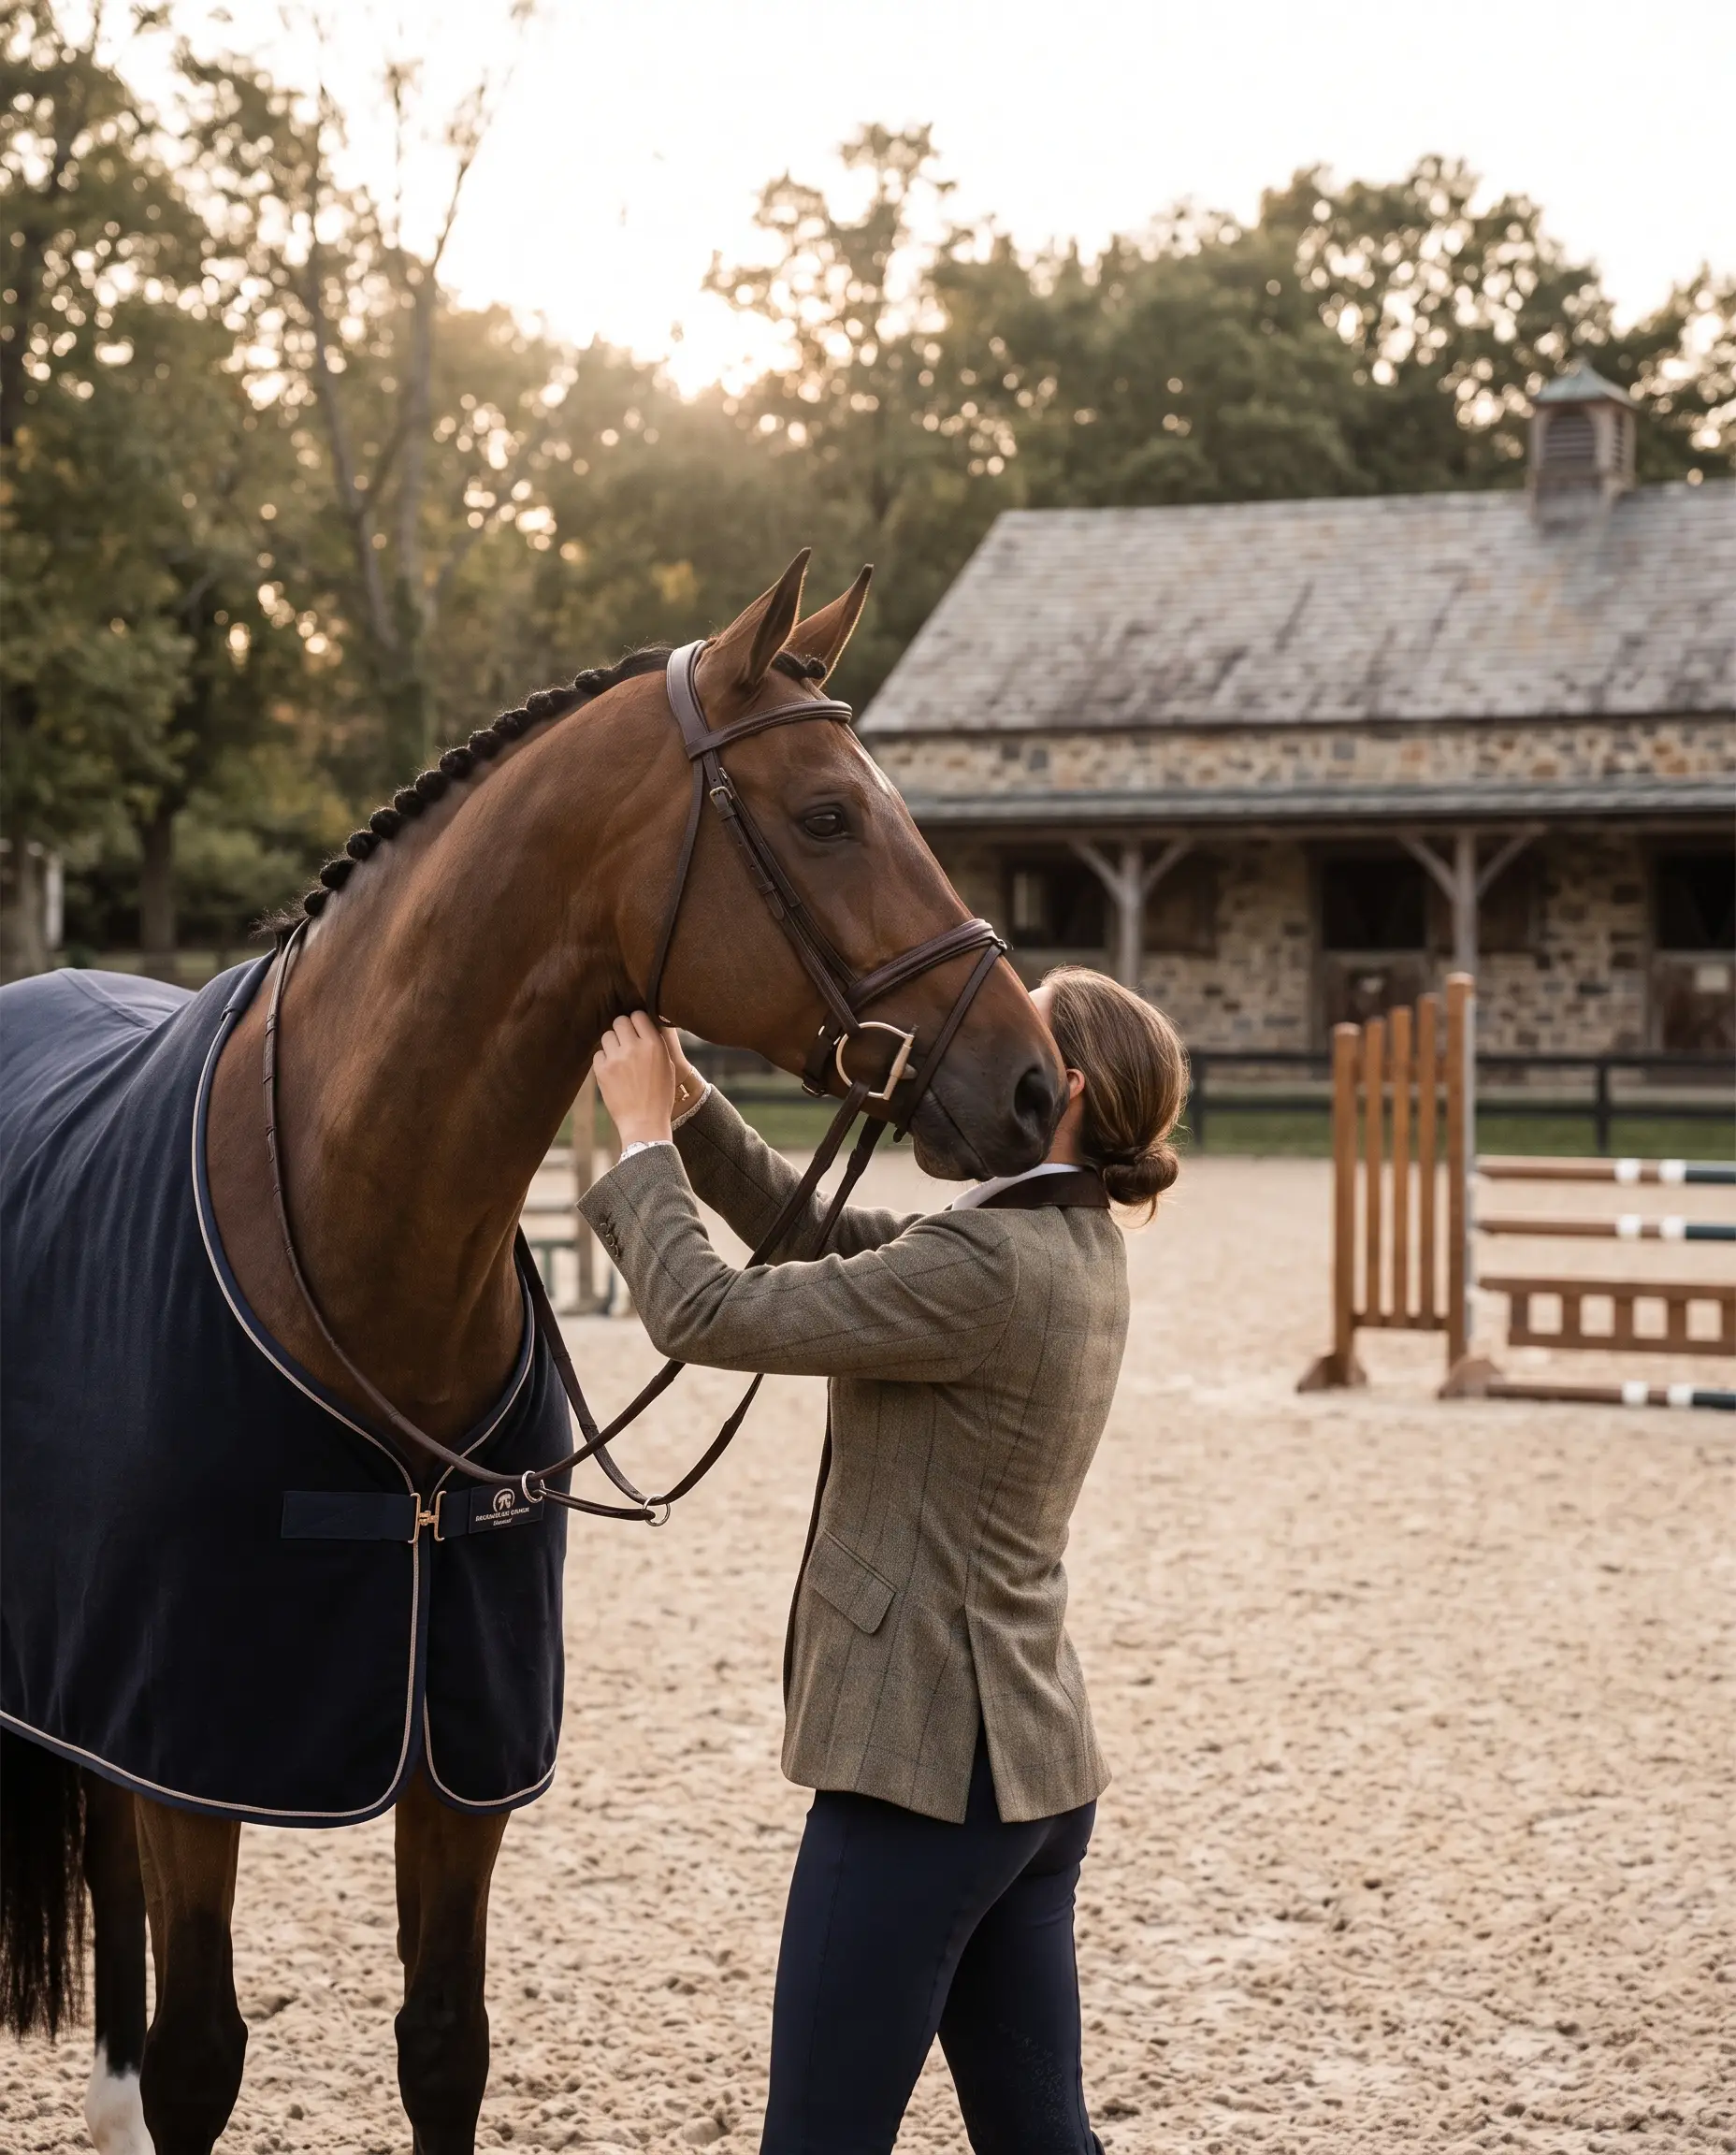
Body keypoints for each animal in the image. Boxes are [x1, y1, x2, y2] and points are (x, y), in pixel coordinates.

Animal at [0, 552, 1064, 2154]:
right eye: (827, 814)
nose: (1034, 1082)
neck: (357, 1235)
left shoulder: (462, 1758)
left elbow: (445, 2043)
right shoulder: (194, 1736)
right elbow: (202, 2056)